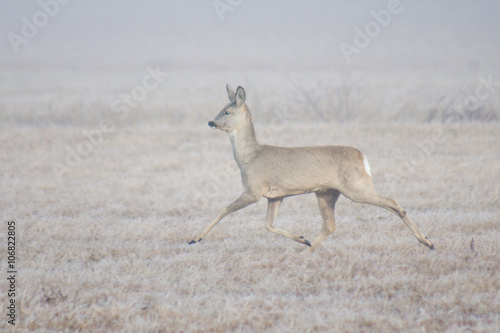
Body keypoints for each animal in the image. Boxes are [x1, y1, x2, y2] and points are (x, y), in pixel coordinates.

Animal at [188, 85, 434, 249]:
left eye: (226, 111)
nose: (211, 122)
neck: (250, 157)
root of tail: (362, 157)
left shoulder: (253, 190)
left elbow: (224, 210)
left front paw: (195, 238)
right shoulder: (276, 195)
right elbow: (268, 224)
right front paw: (301, 238)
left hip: (356, 187)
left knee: (393, 202)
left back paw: (427, 241)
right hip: (326, 192)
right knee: (329, 225)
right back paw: (306, 249)